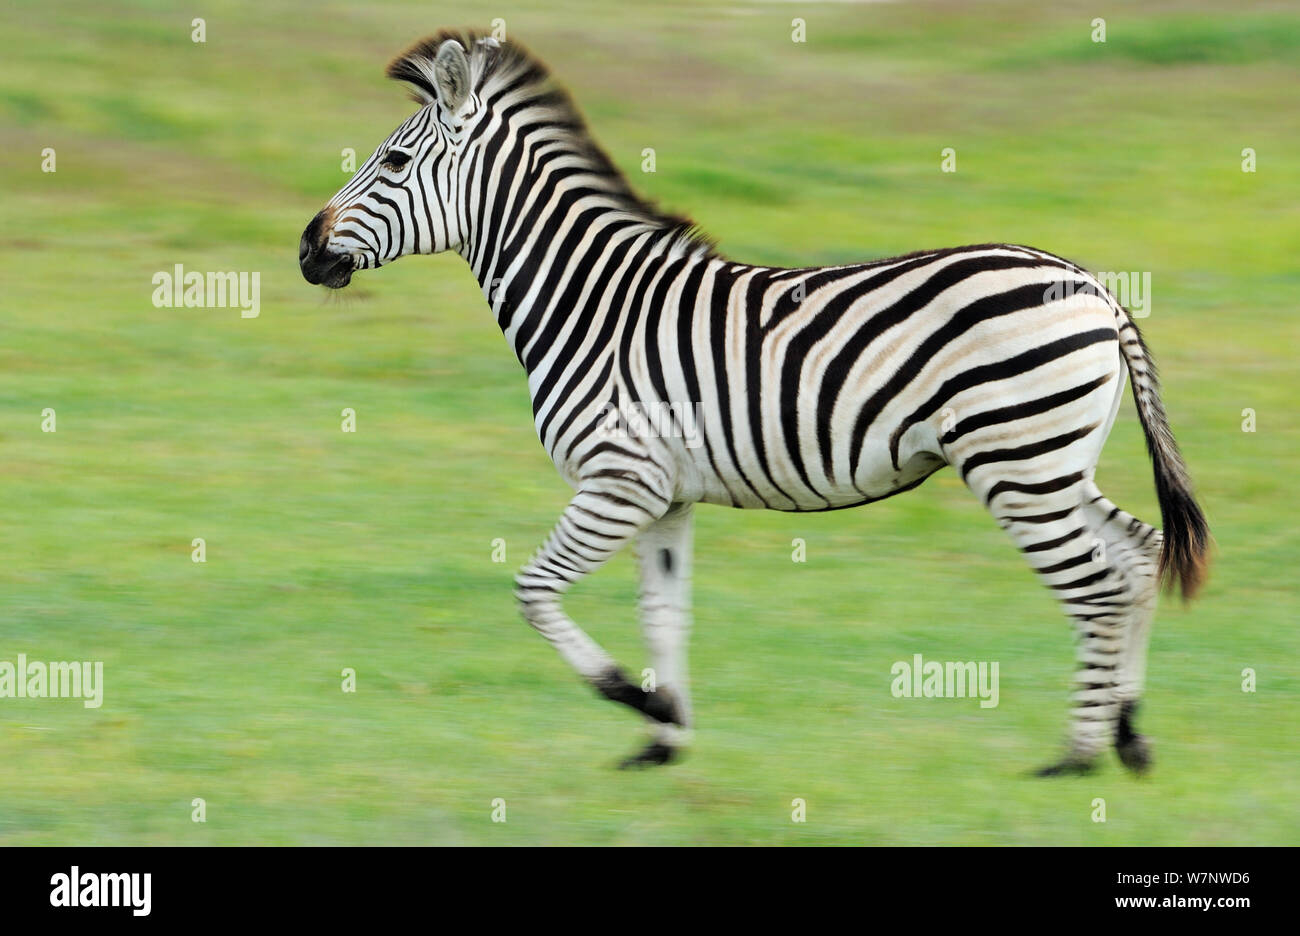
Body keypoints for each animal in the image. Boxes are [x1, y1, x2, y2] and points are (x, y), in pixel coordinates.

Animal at [299, 31, 1210, 775]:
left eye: (393, 164)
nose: (306, 250)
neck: (592, 302)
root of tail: (1096, 288)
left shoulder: (618, 481)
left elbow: (532, 590)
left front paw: (638, 700)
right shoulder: (663, 497)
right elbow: (665, 614)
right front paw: (664, 739)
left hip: (1015, 462)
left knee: (1095, 585)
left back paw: (1077, 757)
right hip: (1049, 462)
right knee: (1138, 556)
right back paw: (1128, 736)